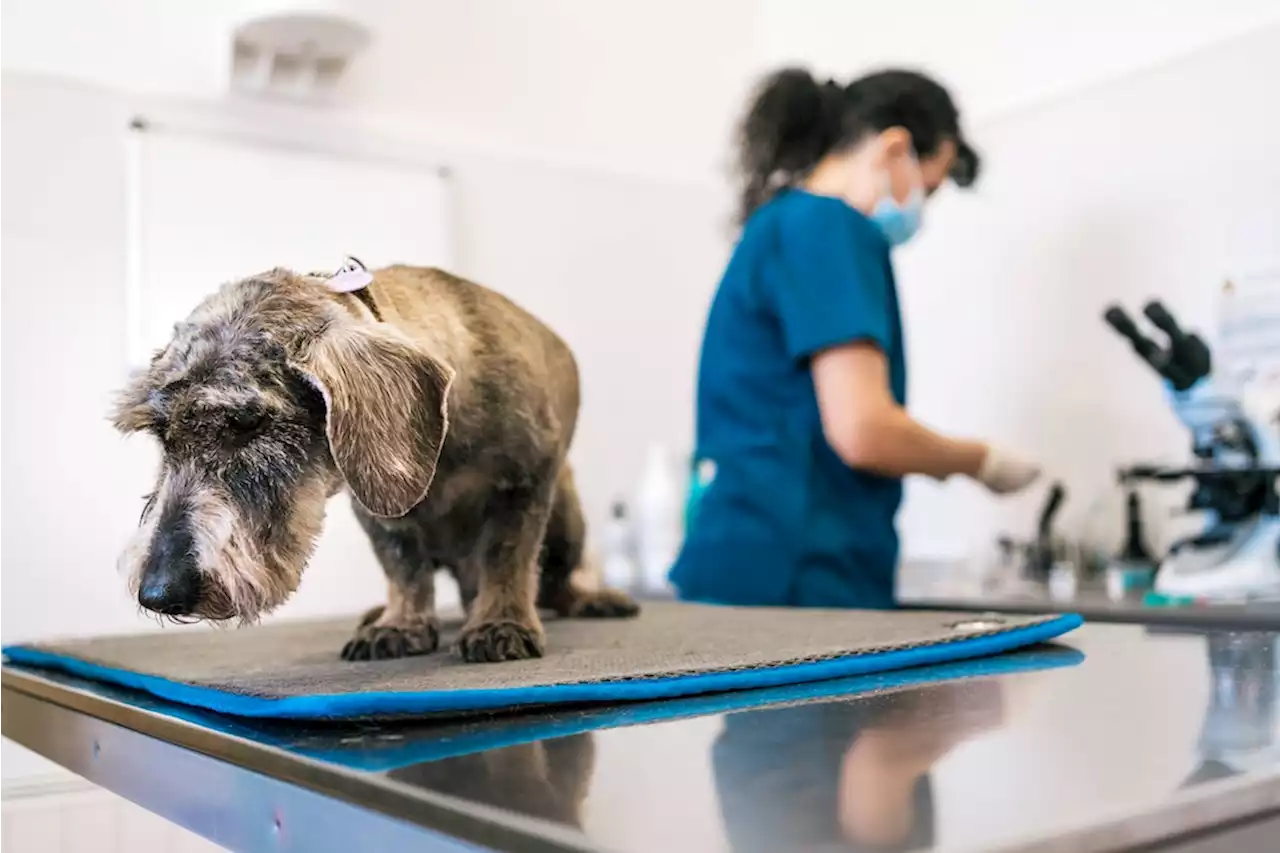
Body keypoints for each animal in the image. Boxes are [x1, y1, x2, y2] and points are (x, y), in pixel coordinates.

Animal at [112, 262, 640, 660]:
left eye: (247, 422)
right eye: (161, 433)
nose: (158, 593)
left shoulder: (525, 483)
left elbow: (507, 555)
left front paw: (500, 623)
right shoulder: (378, 516)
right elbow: (403, 568)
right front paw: (400, 624)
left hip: (568, 521)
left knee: (556, 583)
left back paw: (589, 599)